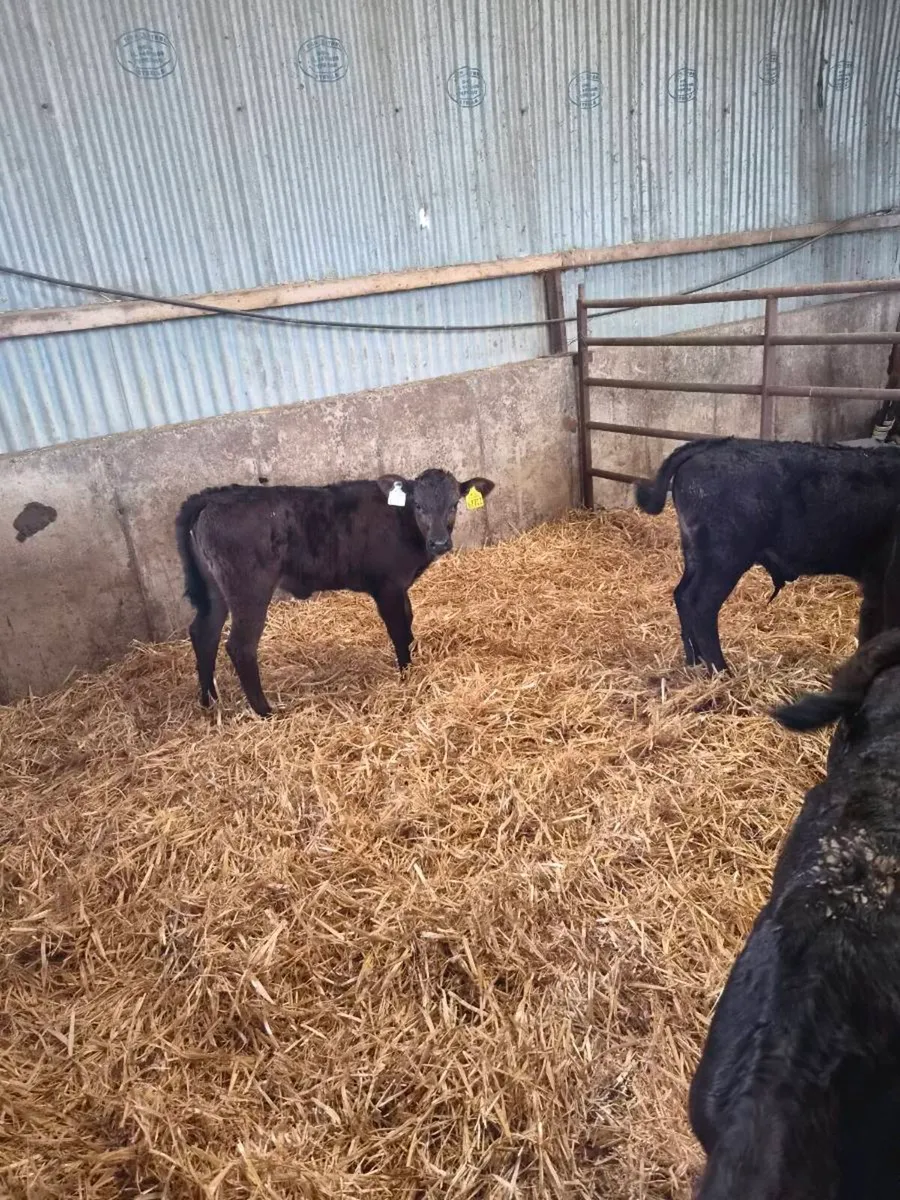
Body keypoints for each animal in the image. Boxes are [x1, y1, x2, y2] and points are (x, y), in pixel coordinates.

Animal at [175, 469, 495, 717]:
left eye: (454, 504)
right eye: (418, 506)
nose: (440, 542)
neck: (402, 524)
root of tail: (212, 496)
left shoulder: (400, 587)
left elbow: (409, 622)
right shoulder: (387, 587)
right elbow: (399, 631)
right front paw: (407, 675)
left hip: (216, 590)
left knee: (204, 633)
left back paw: (209, 701)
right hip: (249, 589)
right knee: (240, 646)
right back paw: (265, 712)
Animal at [634, 437, 900, 672]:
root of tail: (713, 444)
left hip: (697, 556)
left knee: (682, 596)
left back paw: (695, 662)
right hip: (725, 559)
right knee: (701, 605)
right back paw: (721, 671)